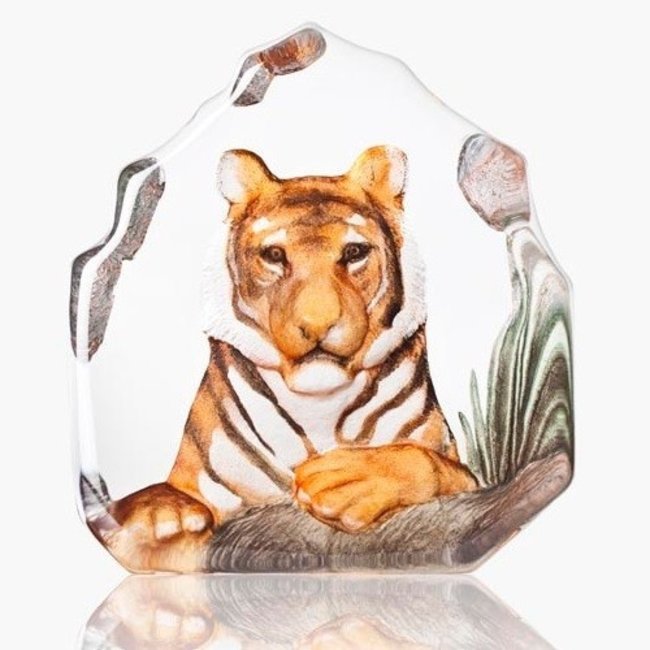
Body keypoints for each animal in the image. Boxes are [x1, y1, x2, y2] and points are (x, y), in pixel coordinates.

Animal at [105, 146, 477, 572]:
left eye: (353, 252)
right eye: (274, 255)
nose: (317, 324)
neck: (319, 406)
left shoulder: (459, 467)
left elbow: (438, 466)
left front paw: (350, 480)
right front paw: (164, 517)